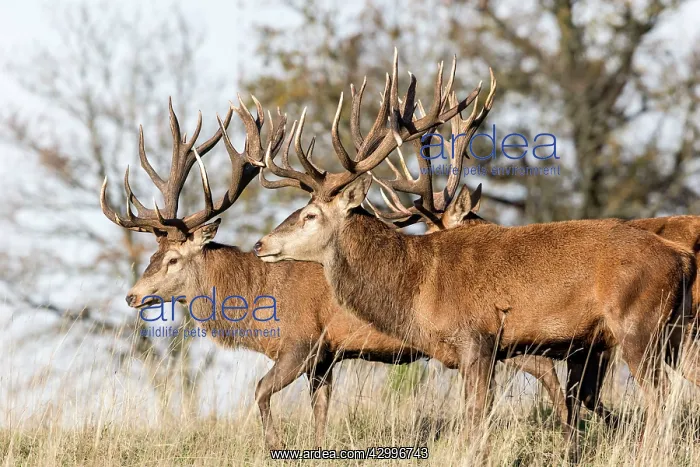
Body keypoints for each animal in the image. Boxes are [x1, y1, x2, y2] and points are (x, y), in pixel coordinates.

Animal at [99, 95, 577, 450]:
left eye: (173, 260)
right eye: (152, 254)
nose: (132, 295)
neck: (259, 303)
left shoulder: (301, 341)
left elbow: (260, 391)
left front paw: (275, 448)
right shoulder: (326, 358)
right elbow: (321, 412)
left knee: (547, 370)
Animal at [252, 50, 698, 447]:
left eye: (310, 215)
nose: (260, 243)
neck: (417, 286)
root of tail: (681, 257)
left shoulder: (478, 338)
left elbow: (474, 420)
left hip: (638, 325)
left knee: (659, 397)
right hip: (672, 331)